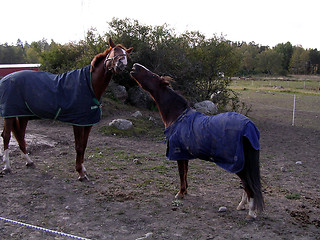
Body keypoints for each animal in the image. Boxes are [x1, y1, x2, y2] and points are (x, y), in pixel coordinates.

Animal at [0, 38, 132, 180]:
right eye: (115, 50)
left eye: (126, 54)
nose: (121, 64)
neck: (89, 84)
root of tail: (6, 79)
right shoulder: (78, 122)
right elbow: (79, 146)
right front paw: (80, 173)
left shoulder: (87, 122)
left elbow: (84, 145)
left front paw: (83, 169)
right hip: (9, 114)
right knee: (6, 136)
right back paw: (7, 167)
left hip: (22, 115)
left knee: (20, 135)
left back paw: (29, 162)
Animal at [131, 63, 264, 219]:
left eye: (152, 75)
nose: (135, 66)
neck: (177, 116)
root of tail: (249, 126)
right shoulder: (185, 154)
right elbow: (186, 173)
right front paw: (185, 191)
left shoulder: (178, 153)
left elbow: (181, 173)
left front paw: (180, 193)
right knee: (246, 184)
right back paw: (242, 205)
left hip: (238, 164)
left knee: (248, 186)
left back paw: (251, 212)